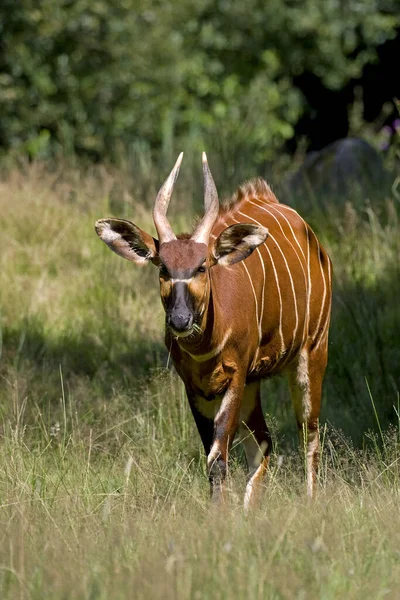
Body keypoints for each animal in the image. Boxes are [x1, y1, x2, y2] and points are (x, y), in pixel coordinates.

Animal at [95, 152, 332, 508]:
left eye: (202, 266)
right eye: (163, 268)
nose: (180, 320)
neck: (205, 347)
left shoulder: (235, 377)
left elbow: (218, 457)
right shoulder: (196, 387)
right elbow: (214, 458)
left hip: (312, 353)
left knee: (309, 433)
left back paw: (310, 502)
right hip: (255, 381)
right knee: (264, 441)